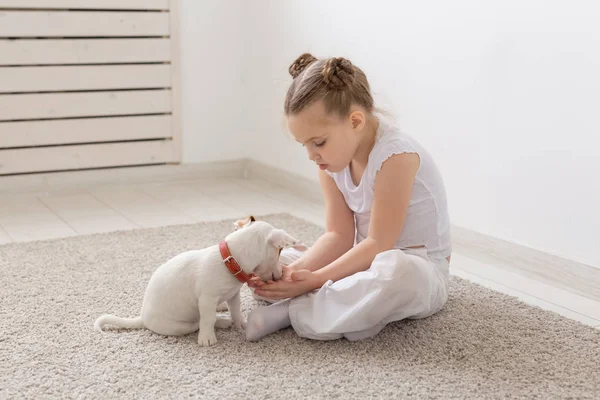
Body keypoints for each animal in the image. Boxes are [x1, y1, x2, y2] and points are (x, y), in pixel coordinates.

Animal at [97, 217, 310, 346]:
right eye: (280, 251)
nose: (281, 273)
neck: (230, 260)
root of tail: (143, 318)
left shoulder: (233, 294)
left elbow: (235, 310)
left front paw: (240, 323)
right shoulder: (207, 299)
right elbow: (207, 319)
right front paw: (207, 339)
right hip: (179, 326)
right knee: (199, 322)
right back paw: (219, 323)